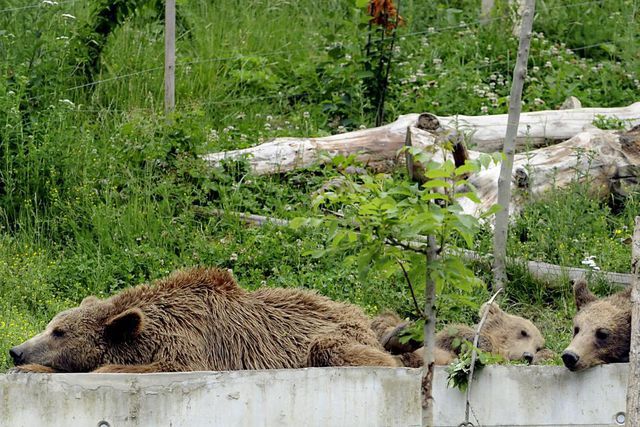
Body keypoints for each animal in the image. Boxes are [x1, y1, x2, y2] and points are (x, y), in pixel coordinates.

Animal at [8, 268, 400, 374]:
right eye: (49, 325)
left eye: (59, 332)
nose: (15, 350)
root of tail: (356, 312)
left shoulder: (189, 344)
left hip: (331, 334)